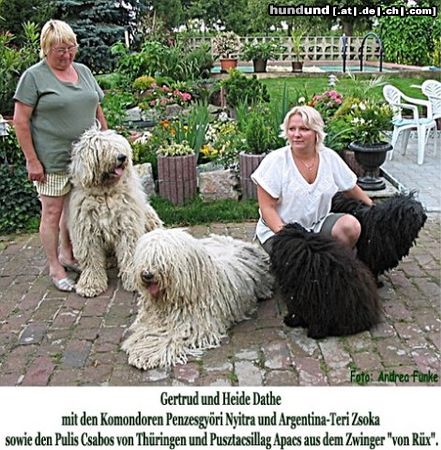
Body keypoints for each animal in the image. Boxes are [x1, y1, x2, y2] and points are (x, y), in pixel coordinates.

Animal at [69, 126, 162, 298]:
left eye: (119, 145)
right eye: (103, 148)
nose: (122, 157)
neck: (105, 193)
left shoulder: (127, 228)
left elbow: (130, 254)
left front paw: (133, 281)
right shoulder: (87, 234)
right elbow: (91, 260)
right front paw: (90, 285)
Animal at [120, 229, 272, 370]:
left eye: (162, 258)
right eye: (146, 256)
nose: (147, 274)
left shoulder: (191, 328)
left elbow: (169, 340)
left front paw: (145, 354)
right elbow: (144, 330)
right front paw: (135, 341)